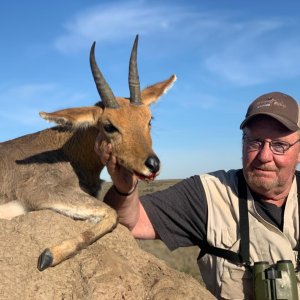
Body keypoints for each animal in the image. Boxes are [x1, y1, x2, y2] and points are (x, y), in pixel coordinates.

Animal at [0, 35, 176, 272]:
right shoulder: (40, 193)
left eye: (149, 119)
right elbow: (112, 214)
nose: (152, 165)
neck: (67, 152)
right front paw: (48, 255)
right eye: (109, 126)